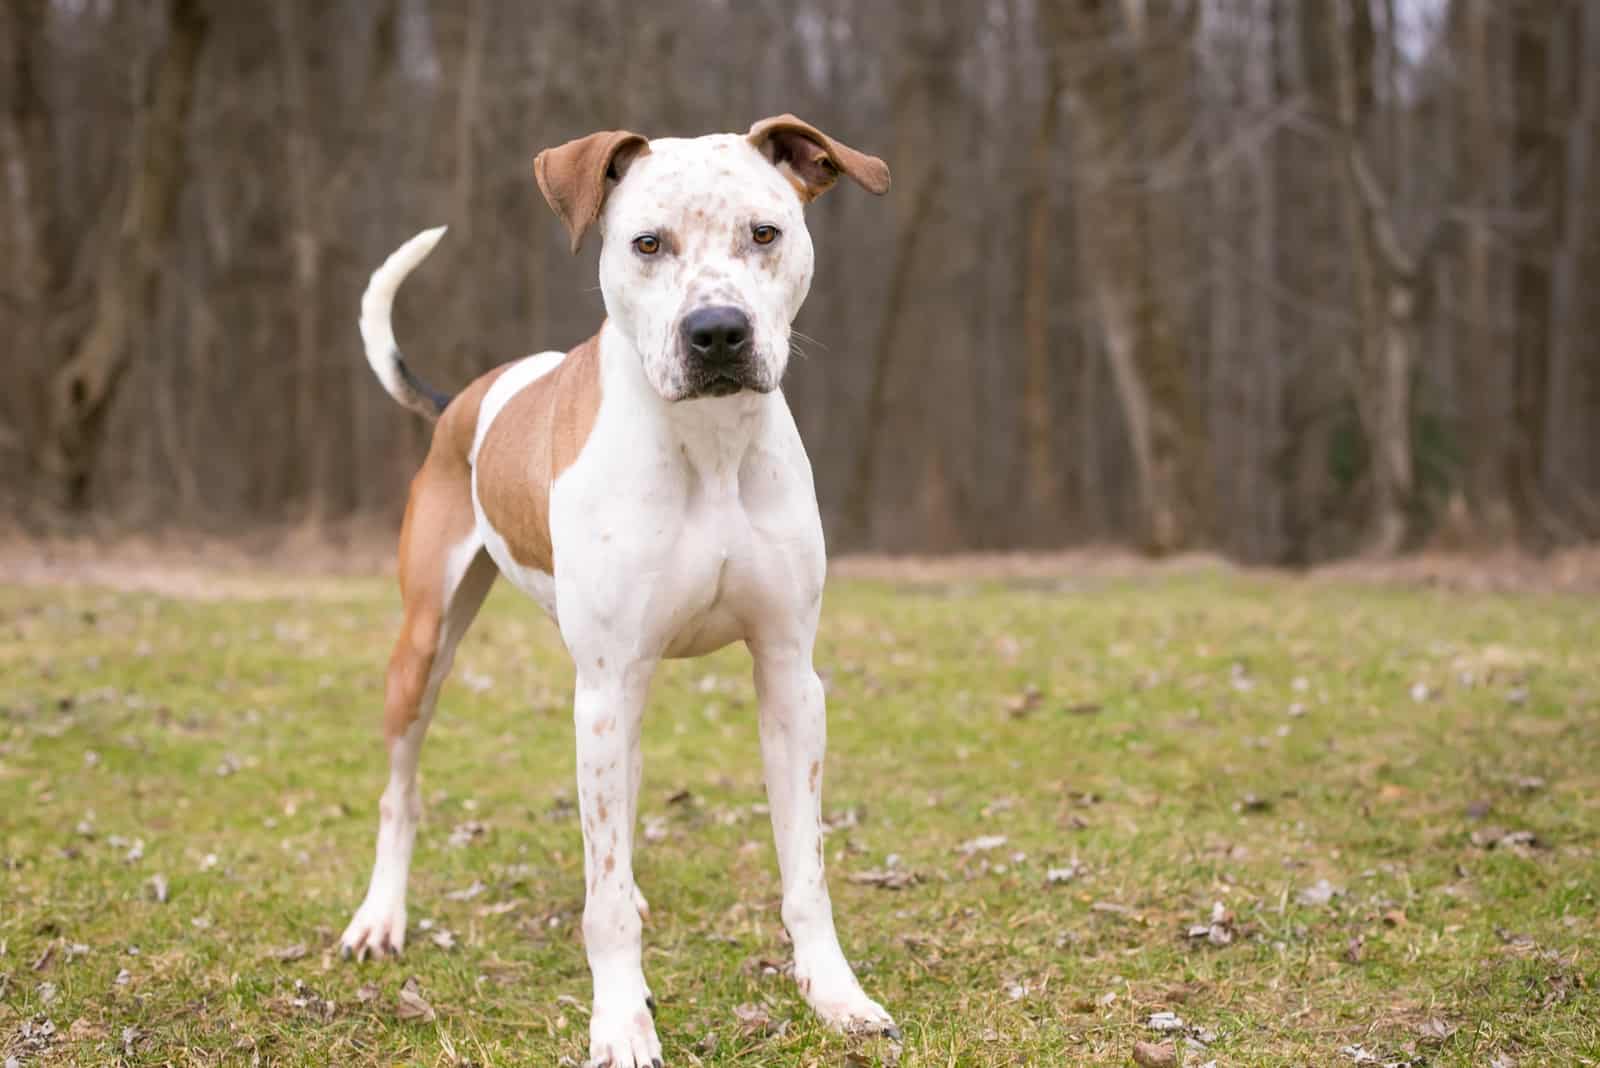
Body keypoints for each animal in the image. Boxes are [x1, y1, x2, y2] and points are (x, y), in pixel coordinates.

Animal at [345, 119, 896, 1068]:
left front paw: (835, 995)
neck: (708, 443)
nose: (718, 332)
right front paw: (621, 1023)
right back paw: (381, 917)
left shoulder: (789, 676)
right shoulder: (601, 689)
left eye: (765, 233)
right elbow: (601, 898)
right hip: (427, 649)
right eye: (647, 243)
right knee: (400, 790)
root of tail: (459, 403)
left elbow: (806, 870)